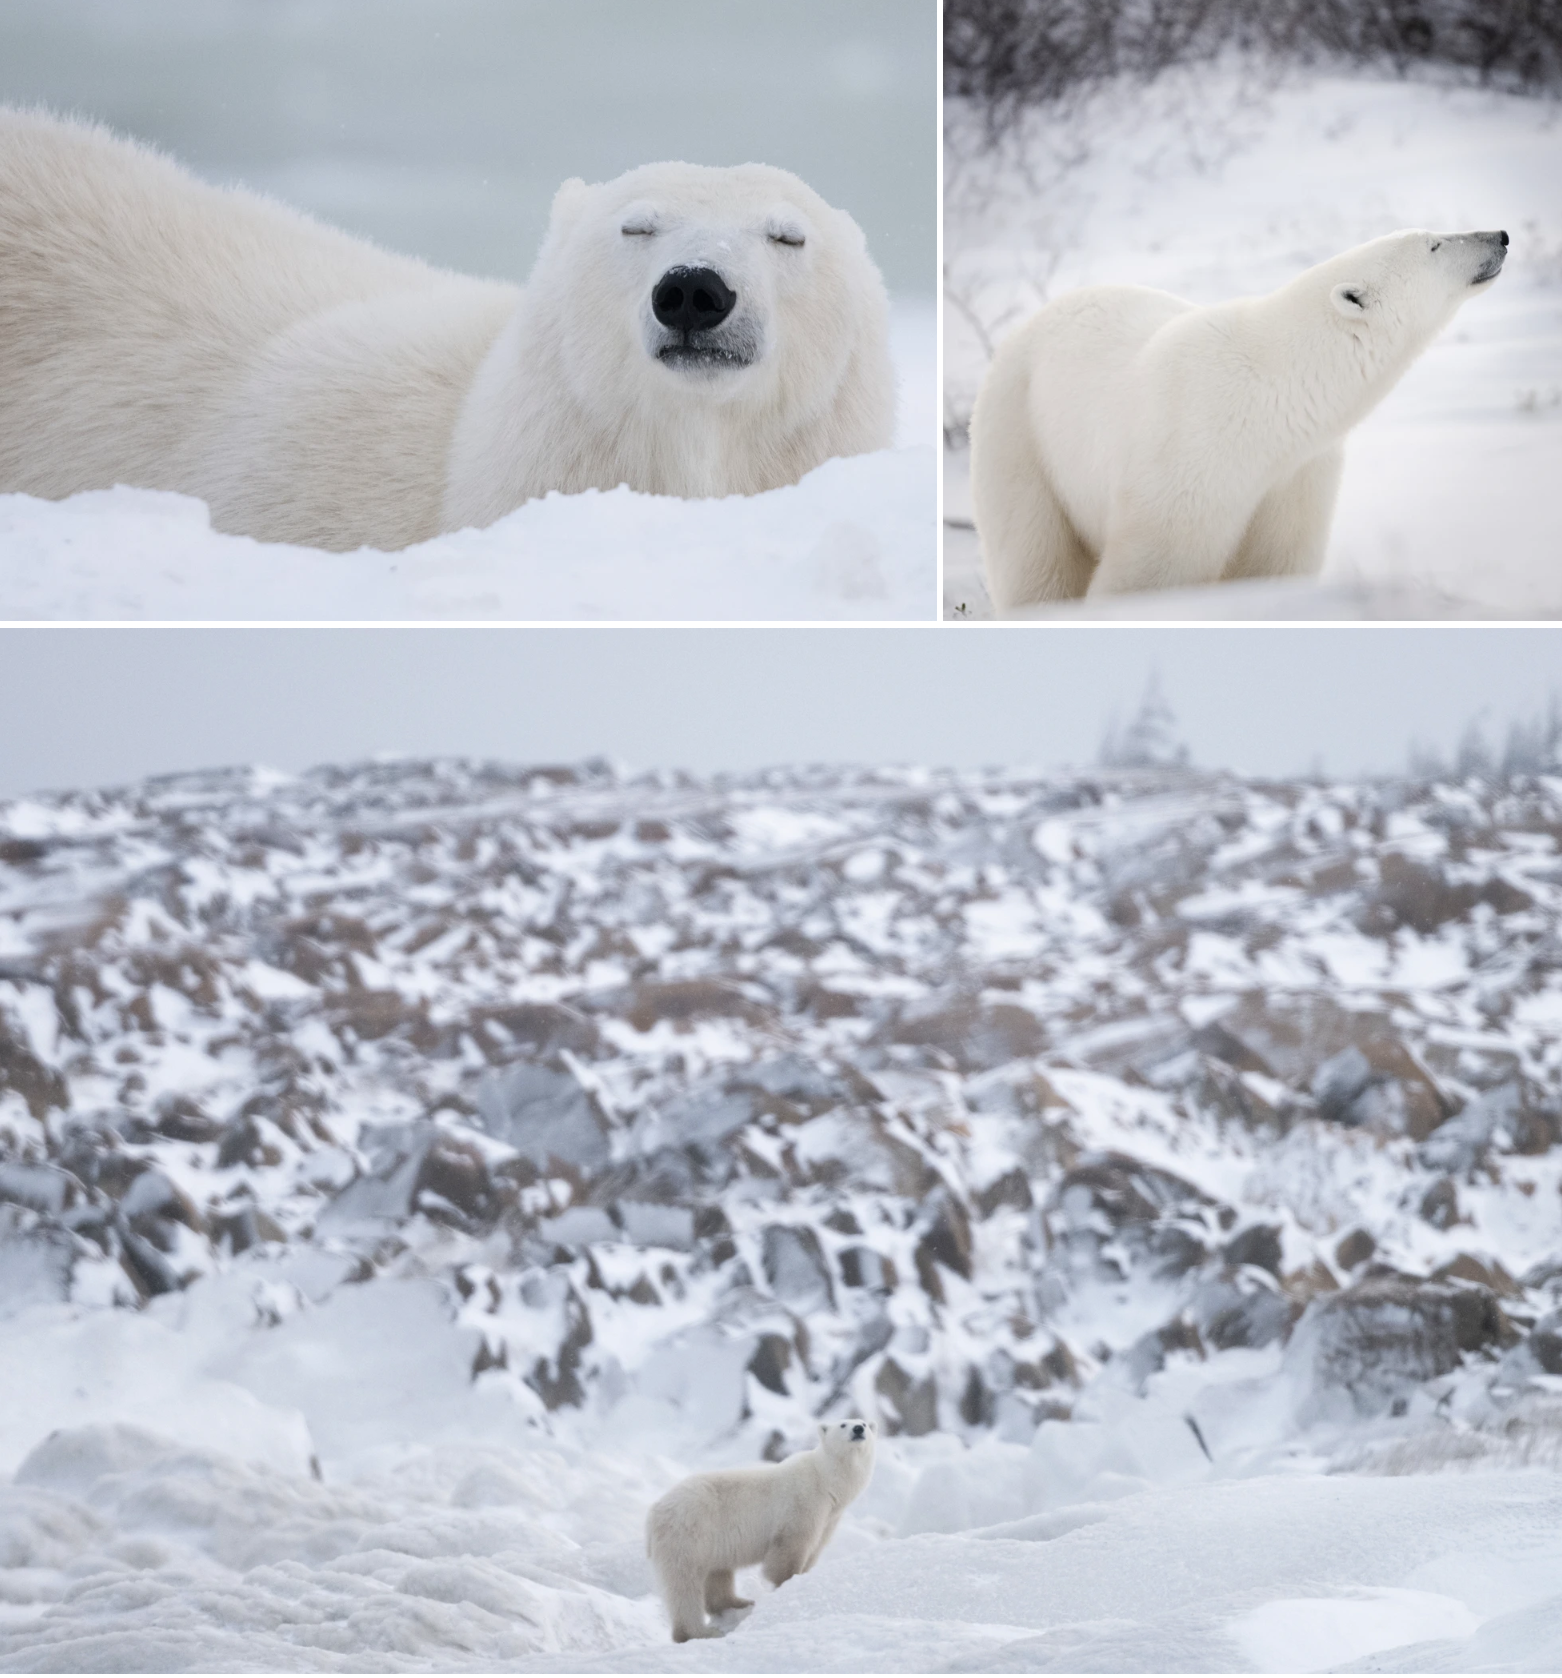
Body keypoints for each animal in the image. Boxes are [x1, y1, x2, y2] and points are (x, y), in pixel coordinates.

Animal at [640, 1416, 872, 1637]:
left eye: (864, 1423)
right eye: (843, 1424)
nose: (858, 1429)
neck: (825, 1479)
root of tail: (653, 1513)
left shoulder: (830, 1518)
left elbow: (815, 1548)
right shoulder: (803, 1502)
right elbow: (790, 1547)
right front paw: (787, 1583)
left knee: (717, 1573)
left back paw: (739, 1602)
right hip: (687, 1532)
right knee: (684, 1584)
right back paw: (700, 1632)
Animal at [973, 228, 1509, 610]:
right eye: (1434, 243)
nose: (1500, 236)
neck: (1275, 389)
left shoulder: (1298, 471)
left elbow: (1276, 558)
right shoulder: (1192, 452)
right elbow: (1154, 564)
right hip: (1021, 431)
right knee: (1034, 555)